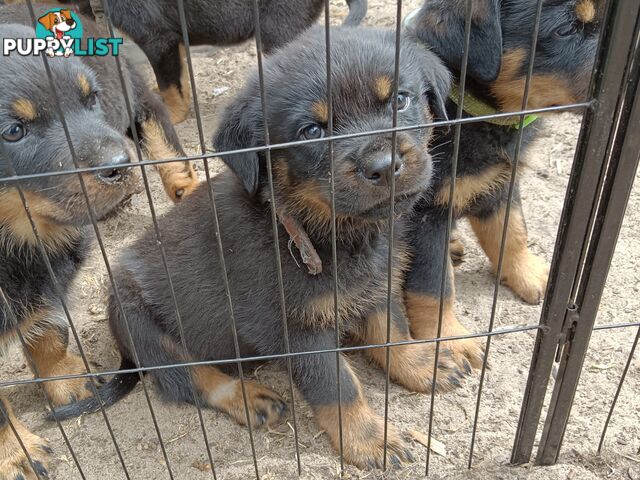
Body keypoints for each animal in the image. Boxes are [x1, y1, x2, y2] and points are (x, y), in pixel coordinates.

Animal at [0, 19, 144, 480]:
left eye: (91, 98)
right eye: (13, 131)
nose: (121, 165)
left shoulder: (48, 286)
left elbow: (49, 330)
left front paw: (67, 380)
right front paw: (16, 453)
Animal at [48, 27, 464, 468]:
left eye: (400, 99)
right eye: (311, 131)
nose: (384, 166)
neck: (311, 229)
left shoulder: (374, 287)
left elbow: (393, 330)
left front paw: (421, 365)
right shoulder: (294, 329)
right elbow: (337, 385)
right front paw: (369, 439)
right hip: (140, 320)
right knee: (188, 378)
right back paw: (248, 398)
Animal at [65, 0, 370, 124]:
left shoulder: (156, 38)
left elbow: (168, 85)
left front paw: (173, 115)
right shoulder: (175, 39)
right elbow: (181, 78)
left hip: (279, 27)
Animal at [402, 0, 604, 366]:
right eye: (565, 29)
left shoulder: (500, 186)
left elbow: (512, 234)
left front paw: (528, 273)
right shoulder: (423, 215)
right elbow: (433, 286)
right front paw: (447, 340)